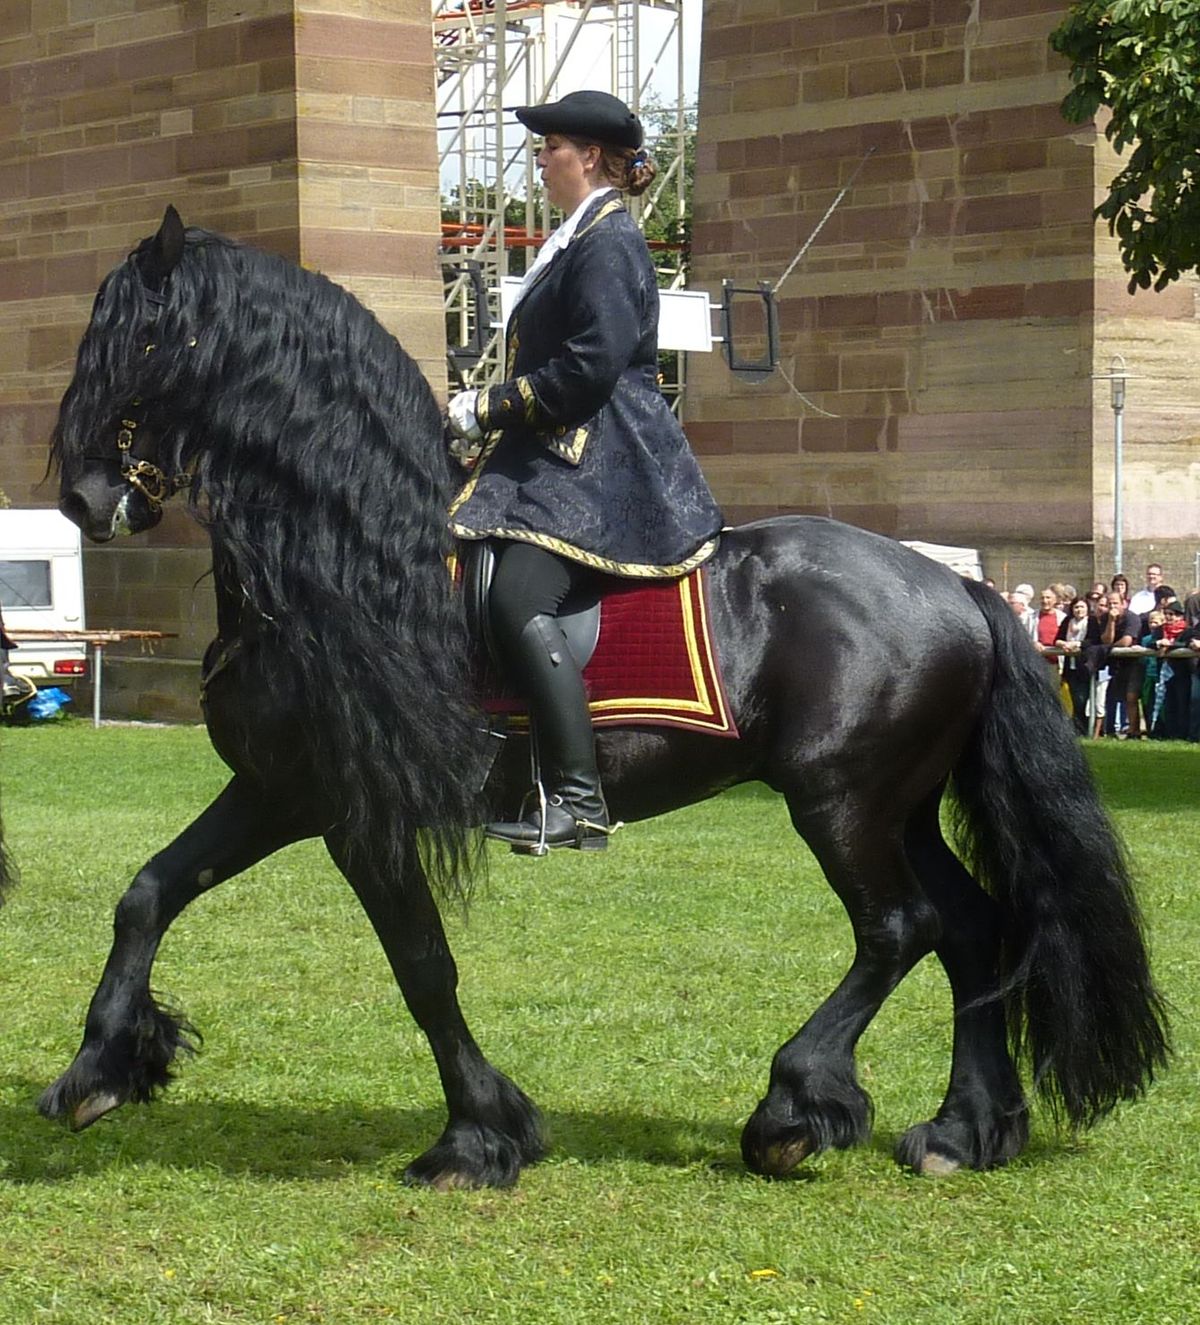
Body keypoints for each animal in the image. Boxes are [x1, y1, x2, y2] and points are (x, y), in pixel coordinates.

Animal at [42, 209, 1165, 1192]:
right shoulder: (286, 788)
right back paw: (966, 1128)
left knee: (900, 924)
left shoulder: (364, 810)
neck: (351, 562)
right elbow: (149, 891)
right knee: (973, 926)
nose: (86, 499)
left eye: (146, 335)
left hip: (840, 799)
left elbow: (422, 965)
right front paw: (97, 1069)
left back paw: (795, 1107)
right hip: (899, 802)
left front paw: (477, 1136)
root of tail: (961, 585)